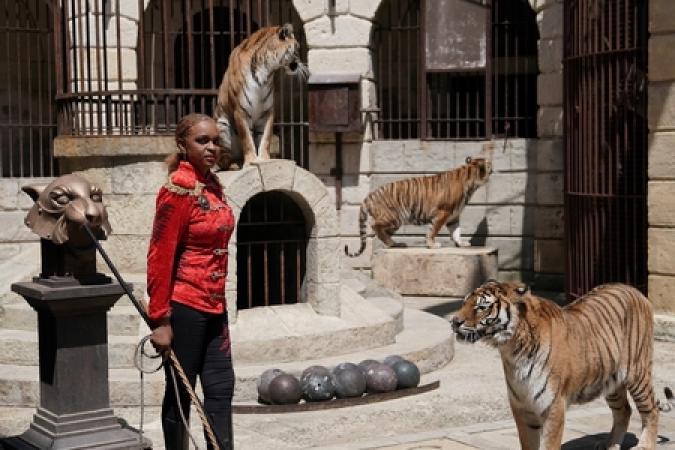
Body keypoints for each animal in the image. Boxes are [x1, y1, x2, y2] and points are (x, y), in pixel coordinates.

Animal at [214, 22, 308, 169]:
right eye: (297, 48)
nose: (299, 64)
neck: (266, 71)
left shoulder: (267, 112)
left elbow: (266, 137)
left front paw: (264, 159)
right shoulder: (240, 111)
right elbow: (247, 139)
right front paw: (250, 162)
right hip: (222, 125)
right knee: (224, 159)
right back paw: (235, 164)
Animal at [346, 157, 494, 256]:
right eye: (489, 164)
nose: (493, 168)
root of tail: (370, 195)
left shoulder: (453, 216)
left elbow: (456, 231)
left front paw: (461, 243)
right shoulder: (443, 212)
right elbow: (433, 230)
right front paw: (432, 245)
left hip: (394, 223)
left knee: (382, 232)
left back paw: (395, 244)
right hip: (394, 217)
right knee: (375, 226)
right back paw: (392, 243)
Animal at [452, 280, 656, 448]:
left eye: (481, 307)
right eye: (464, 303)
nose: (454, 322)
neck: (511, 349)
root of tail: (634, 289)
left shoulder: (553, 406)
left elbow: (549, 444)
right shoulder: (522, 407)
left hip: (638, 374)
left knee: (651, 410)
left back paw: (644, 445)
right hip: (611, 381)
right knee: (624, 411)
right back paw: (610, 446)